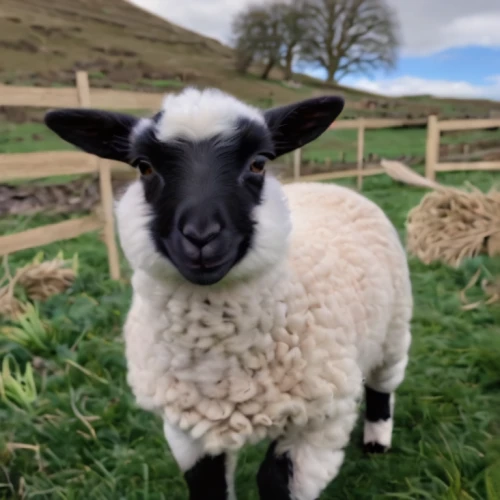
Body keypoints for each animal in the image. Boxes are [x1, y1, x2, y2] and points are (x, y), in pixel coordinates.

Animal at [45, 90, 414, 500]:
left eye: (258, 163)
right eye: (143, 167)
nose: (201, 235)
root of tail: (331, 186)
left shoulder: (321, 419)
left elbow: (274, 481)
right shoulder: (188, 427)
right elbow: (208, 486)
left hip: (394, 324)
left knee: (383, 383)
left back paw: (377, 440)